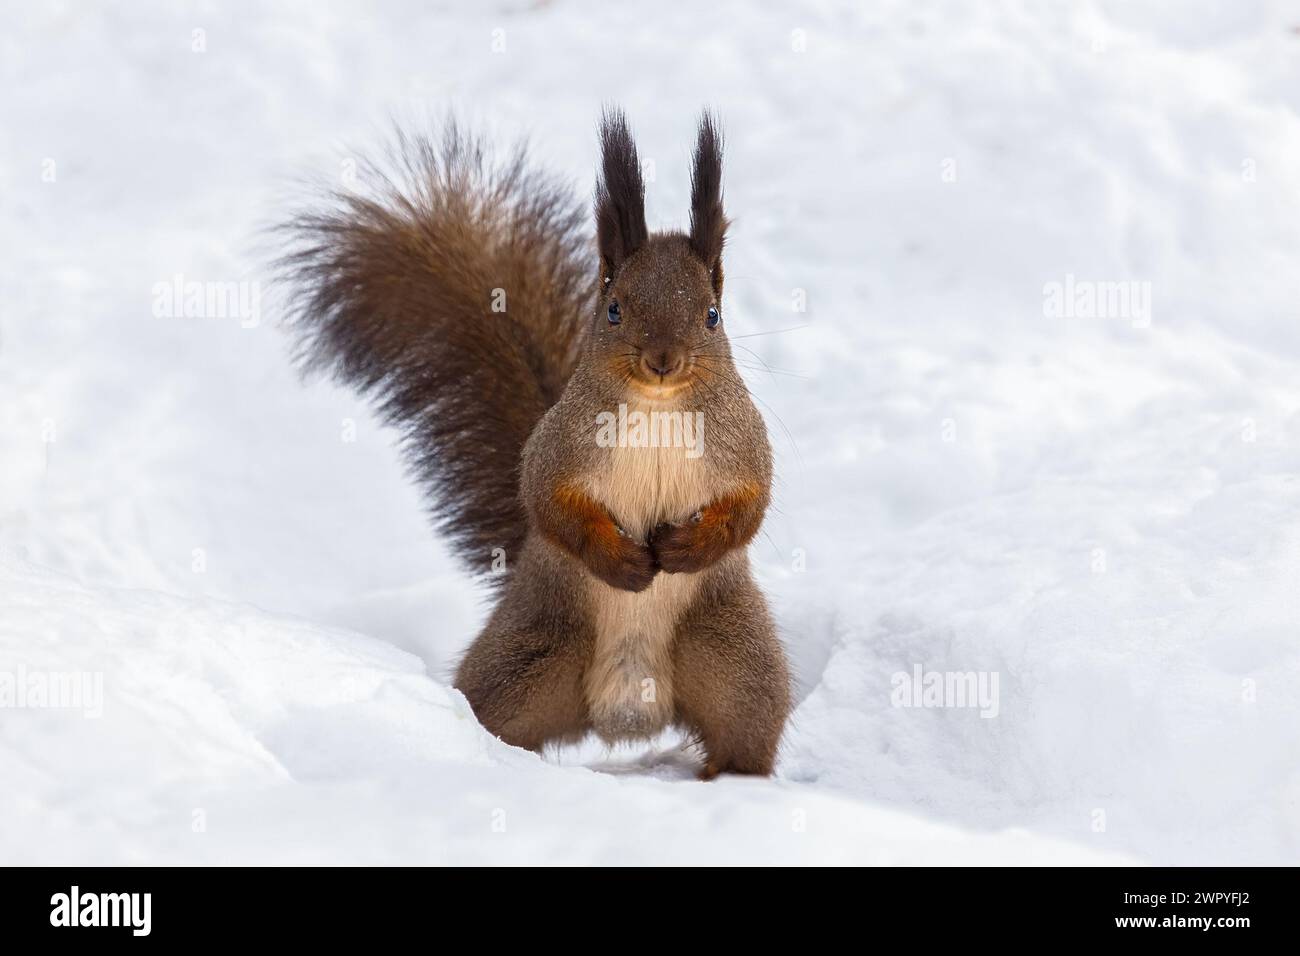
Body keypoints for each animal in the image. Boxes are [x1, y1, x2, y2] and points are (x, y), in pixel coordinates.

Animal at [279, 109, 791, 778]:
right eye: (614, 309)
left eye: (712, 315)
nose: (662, 360)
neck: (658, 408)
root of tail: (627, 714)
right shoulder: (558, 449)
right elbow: (550, 505)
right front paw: (621, 560)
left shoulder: (743, 447)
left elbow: (748, 510)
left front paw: (685, 547)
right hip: (529, 657)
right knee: (498, 713)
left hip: (733, 658)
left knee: (743, 727)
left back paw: (728, 780)